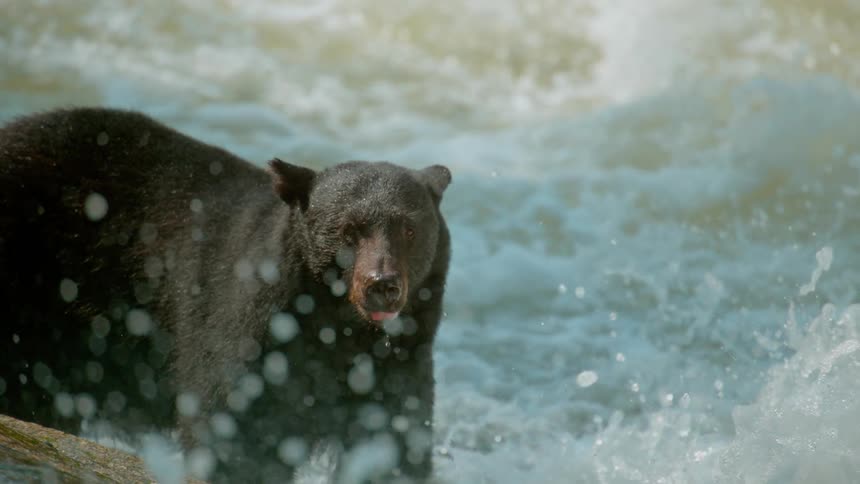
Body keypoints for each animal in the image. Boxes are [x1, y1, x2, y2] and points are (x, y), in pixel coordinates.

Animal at [0, 107, 451, 483]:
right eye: (349, 231)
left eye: (409, 229)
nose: (382, 285)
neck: (337, 331)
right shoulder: (250, 328)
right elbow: (232, 425)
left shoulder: (399, 361)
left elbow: (393, 441)